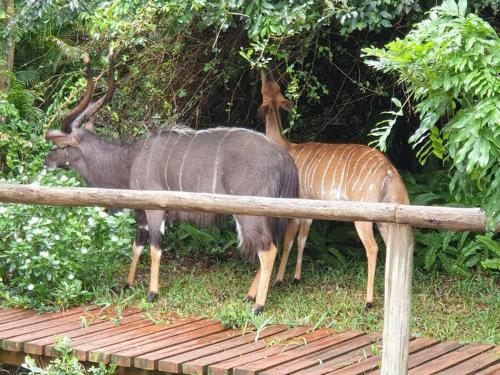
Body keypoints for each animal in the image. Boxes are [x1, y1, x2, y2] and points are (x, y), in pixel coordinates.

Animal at [43, 50, 298, 314]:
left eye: (61, 146)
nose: (46, 161)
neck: (128, 161)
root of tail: (286, 162)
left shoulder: (156, 209)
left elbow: (156, 246)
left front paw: (152, 293)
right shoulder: (141, 213)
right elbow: (138, 244)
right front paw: (128, 284)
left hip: (250, 213)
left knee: (267, 249)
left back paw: (258, 306)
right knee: (271, 244)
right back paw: (249, 296)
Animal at [260, 71, 408, 308]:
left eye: (268, 86)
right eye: (275, 86)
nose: (266, 72)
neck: (287, 147)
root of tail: (389, 170)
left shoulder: (296, 202)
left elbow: (289, 240)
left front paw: (280, 280)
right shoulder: (309, 207)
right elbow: (302, 240)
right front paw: (297, 278)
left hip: (364, 214)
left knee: (373, 248)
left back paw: (368, 301)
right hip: (385, 215)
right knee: (391, 246)